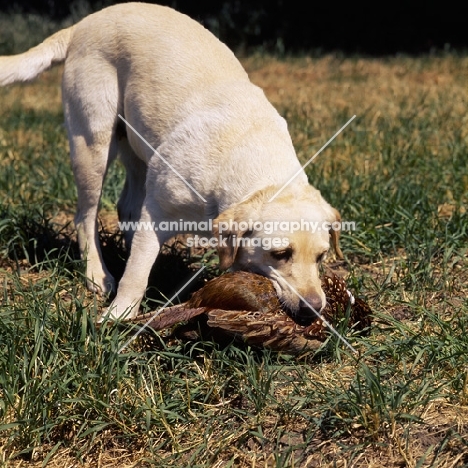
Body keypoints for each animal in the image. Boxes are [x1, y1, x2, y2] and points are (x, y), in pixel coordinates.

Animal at [0, 2, 344, 322]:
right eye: (280, 253)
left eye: (321, 257)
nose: (314, 309)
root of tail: (84, 24)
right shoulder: (157, 213)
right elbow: (136, 274)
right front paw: (118, 315)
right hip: (92, 145)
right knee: (85, 216)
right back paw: (98, 275)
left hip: (139, 150)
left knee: (126, 207)